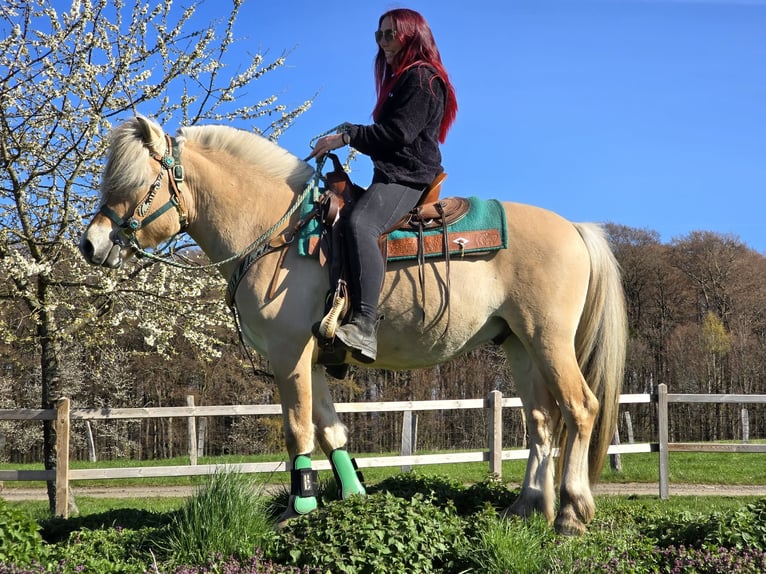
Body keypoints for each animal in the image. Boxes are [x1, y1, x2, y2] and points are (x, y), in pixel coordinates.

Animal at [79, 116, 627, 536]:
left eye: (133, 183)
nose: (90, 244)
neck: (275, 232)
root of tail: (574, 228)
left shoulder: (289, 354)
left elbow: (298, 429)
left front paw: (299, 507)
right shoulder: (313, 360)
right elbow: (331, 431)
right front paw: (355, 497)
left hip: (548, 340)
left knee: (580, 409)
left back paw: (571, 515)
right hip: (518, 344)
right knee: (541, 421)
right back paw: (528, 507)